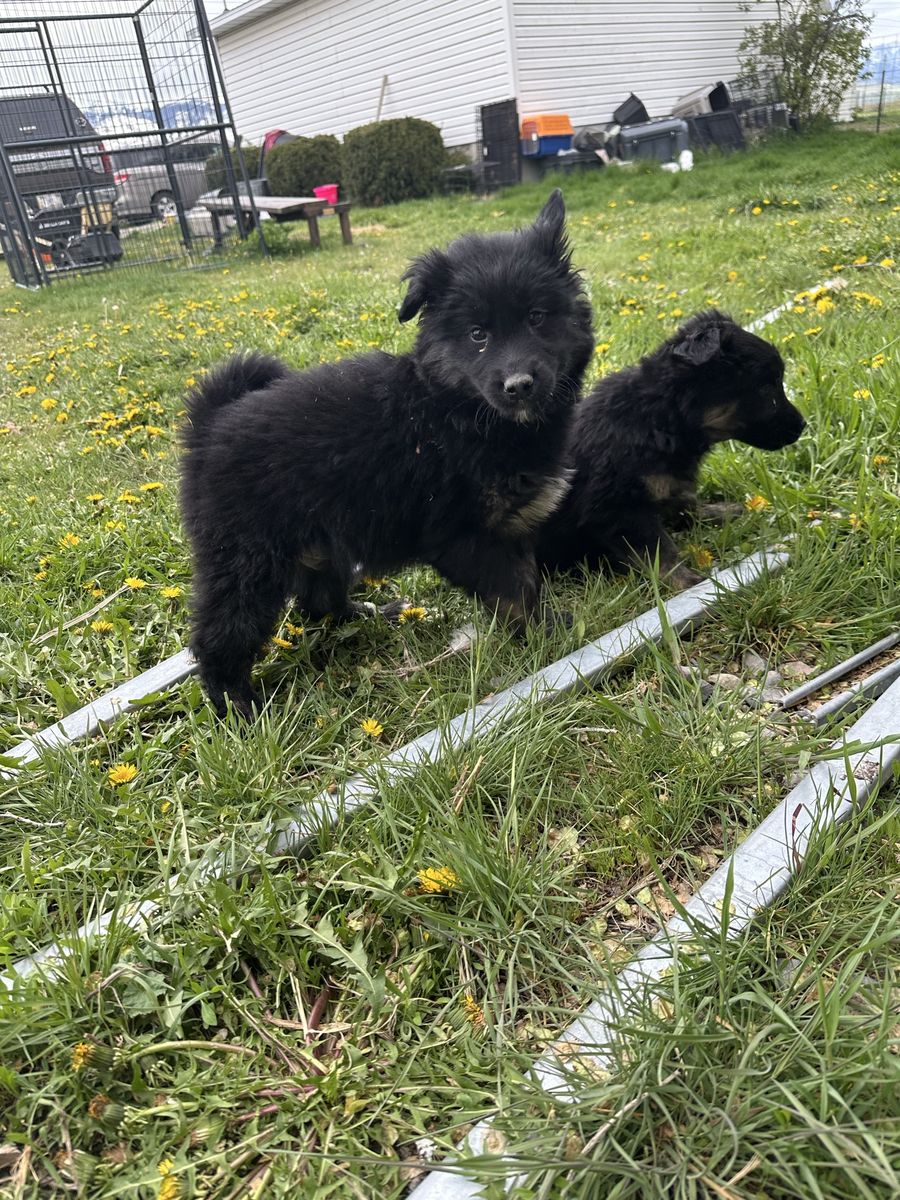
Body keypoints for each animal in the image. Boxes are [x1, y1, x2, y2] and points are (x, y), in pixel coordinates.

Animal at [180, 190, 594, 717]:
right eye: (478, 334)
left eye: (536, 318)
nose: (519, 385)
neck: (457, 411)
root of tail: (211, 423)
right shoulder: (462, 536)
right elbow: (513, 589)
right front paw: (542, 636)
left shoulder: (511, 526)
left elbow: (526, 580)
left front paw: (544, 626)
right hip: (246, 560)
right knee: (219, 635)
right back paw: (240, 705)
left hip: (319, 544)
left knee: (317, 601)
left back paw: (370, 612)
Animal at [537, 310, 806, 587]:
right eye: (766, 388)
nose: (802, 426)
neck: (658, 420)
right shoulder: (619, 509)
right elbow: (657, 548)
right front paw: (686, 580)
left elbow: (685, 503)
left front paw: (718, 511)